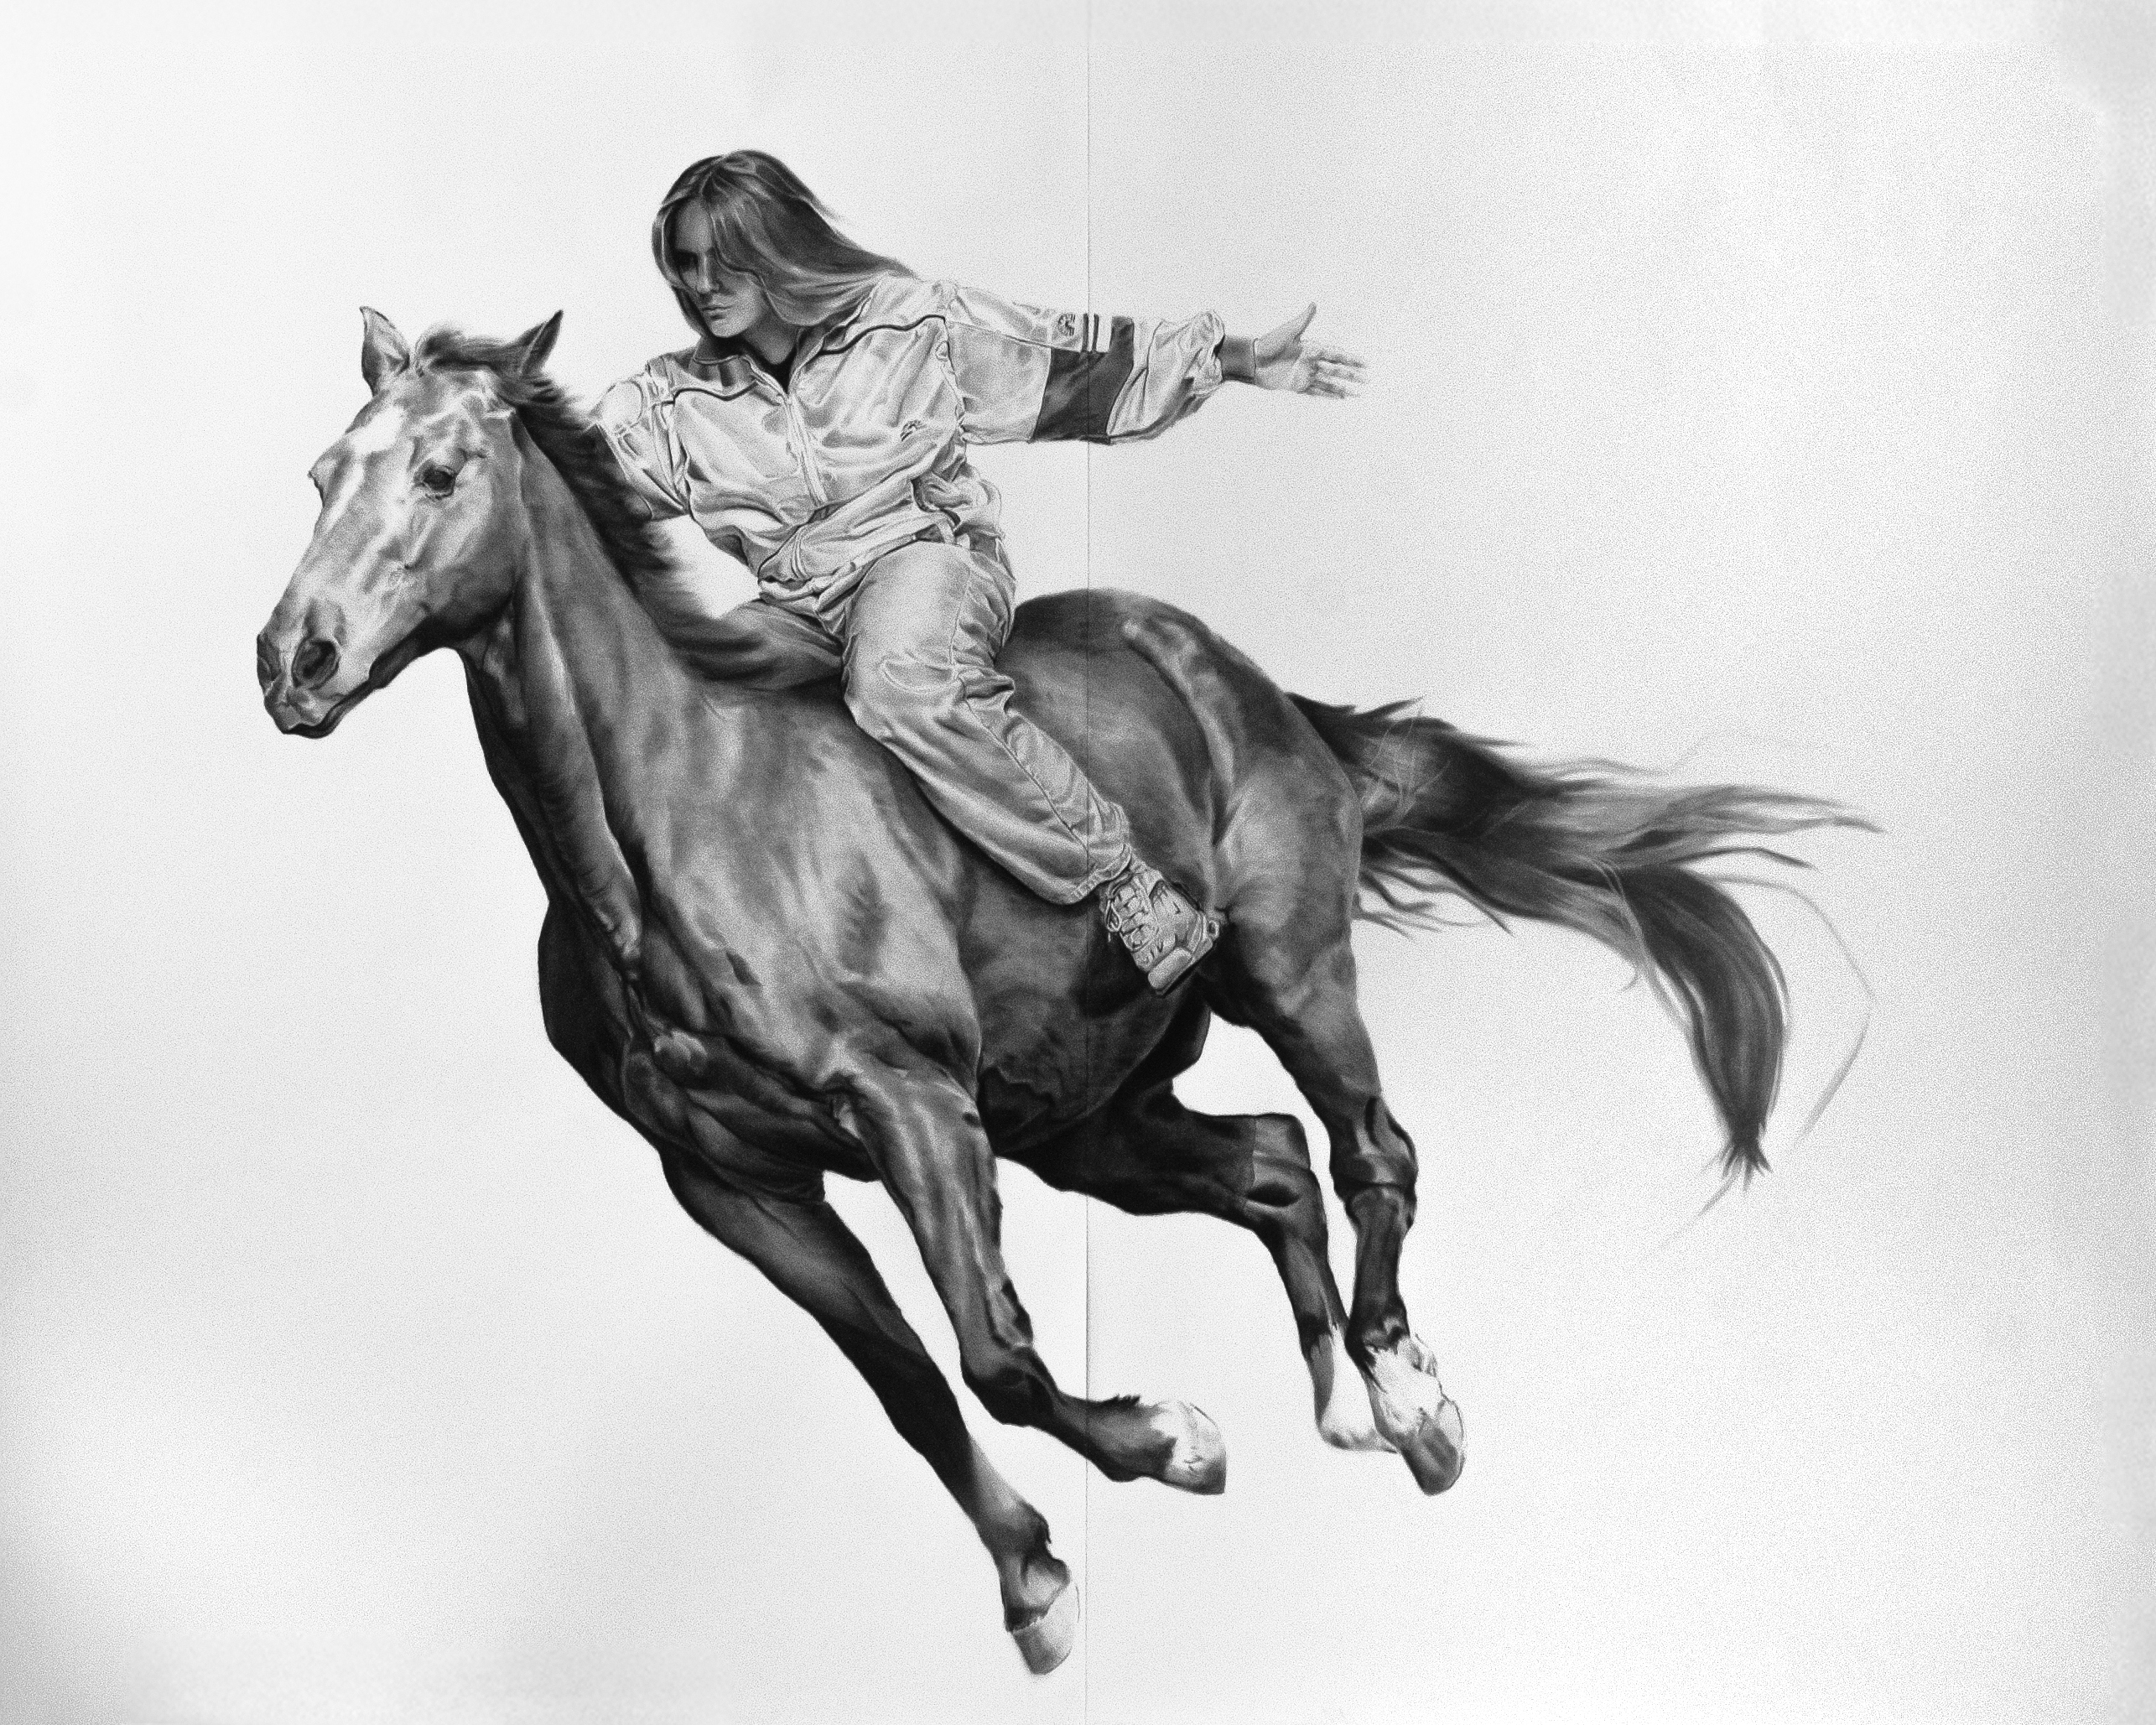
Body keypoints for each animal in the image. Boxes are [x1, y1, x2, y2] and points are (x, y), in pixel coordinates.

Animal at [256, 309, 1858, 1674]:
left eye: (442, 470)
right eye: (326, 472)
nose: (295, 658)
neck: (684, 811)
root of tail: (1250, 685)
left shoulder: (914, 1111)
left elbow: (997, 1357)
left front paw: (1174, 1440)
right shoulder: (734, 1181)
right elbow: (909, 1384)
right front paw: (1034, 1578)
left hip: (1288, 978)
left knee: (1368, 1150)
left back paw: (1409, 1397)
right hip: (1081, 1117)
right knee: (1272, 1165)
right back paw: (1344, 1402)